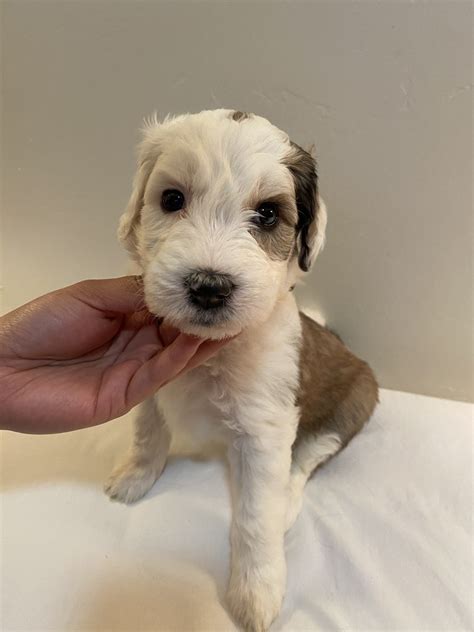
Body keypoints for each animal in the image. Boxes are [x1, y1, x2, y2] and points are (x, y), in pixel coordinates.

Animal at [105, 110, 380, 632]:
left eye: (268, 214)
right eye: (172, 199)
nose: (208, 287)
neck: (212, 352)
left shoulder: (264, 432)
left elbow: (256, 517)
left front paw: (256, 590)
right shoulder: (152, 387)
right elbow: (149, 435)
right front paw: (135, 477)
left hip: (351, 407)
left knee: (305, 463)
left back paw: (287, 505)